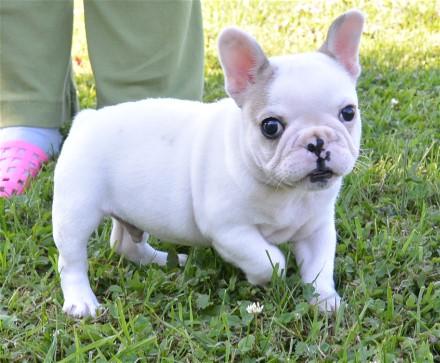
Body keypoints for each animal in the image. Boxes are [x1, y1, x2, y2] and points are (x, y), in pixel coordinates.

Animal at [52, 9, 364, 318]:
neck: (287, 191)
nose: (317, 142)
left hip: (132, 210)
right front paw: (263, 277)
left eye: (348, 113)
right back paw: (81, 302)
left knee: (125, 245)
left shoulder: (316, 229)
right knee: (72, 260)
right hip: (76, 212)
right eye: (271, 127)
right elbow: (270, 260)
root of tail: (87, 119)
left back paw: (164, 260)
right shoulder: (230, 231)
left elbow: (319, 268)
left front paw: (325, 301)